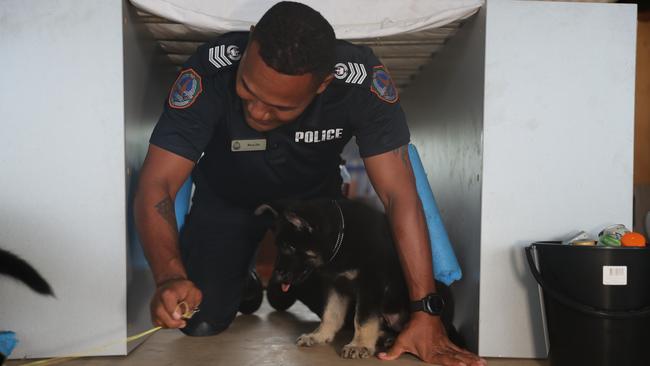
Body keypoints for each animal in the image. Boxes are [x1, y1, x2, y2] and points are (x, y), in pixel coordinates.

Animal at [254, 199, 410, 358]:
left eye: (290, 247)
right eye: (279, 246)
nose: (275, 276)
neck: (341, 239)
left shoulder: (370, 284)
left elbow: (362, 318)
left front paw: (359, 345)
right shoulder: (336, 285)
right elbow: (330, 313)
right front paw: (319, 335)